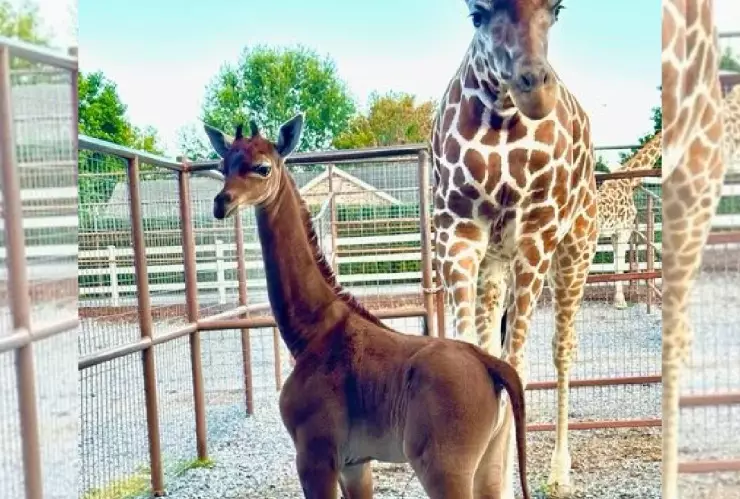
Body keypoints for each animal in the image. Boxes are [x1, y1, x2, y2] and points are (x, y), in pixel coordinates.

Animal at [430, 1, 598, 496]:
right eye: (477, 14)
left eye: (557, 10)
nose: (534, 89)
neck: (502, 118)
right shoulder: (457, 233)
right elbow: (475, 356)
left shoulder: (536, 237)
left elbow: (516, 365)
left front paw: (502, 481)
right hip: (494, 264)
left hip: (575, 250)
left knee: (562, 348)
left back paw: (559, 472)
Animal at [596, 132, 662, 309]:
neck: (629, 179)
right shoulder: (624, 230)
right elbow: (620, 264)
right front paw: (620, 302)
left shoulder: (614, 233)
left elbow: (616, 263)